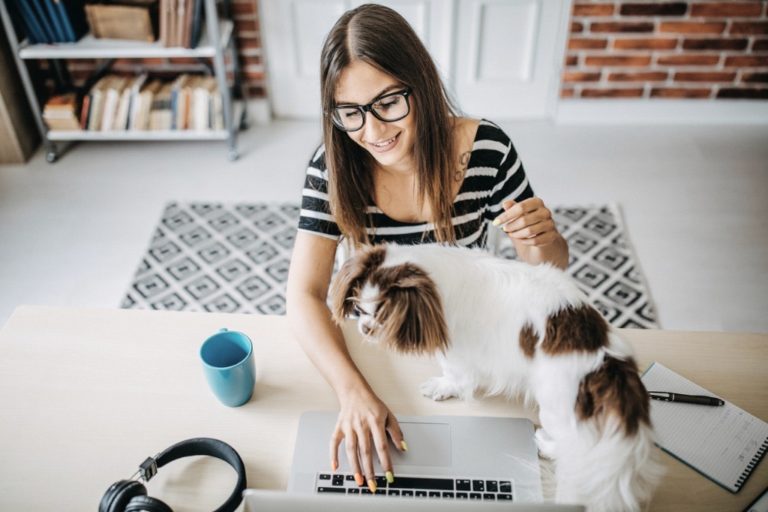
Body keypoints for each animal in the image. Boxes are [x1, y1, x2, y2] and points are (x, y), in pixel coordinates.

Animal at [332, 242, 664, 510]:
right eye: (360, 309)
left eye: (382, 314)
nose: (365, 329)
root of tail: (608, 363)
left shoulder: (458, 352)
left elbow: (454, 375)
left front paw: (441, 387)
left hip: (556, 406)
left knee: (570, 448)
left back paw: (544, 444)